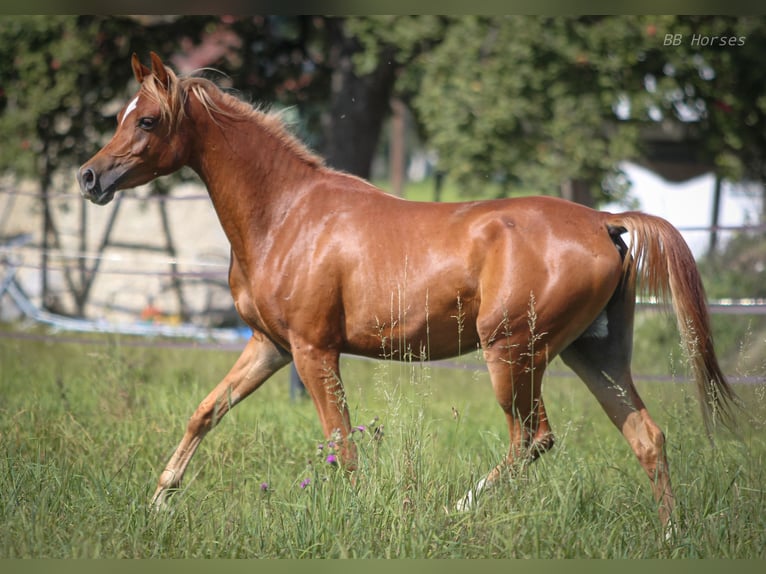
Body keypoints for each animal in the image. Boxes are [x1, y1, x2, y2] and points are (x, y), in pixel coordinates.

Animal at [77, 52, 738, 529]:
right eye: (119, 116)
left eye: (147, 119)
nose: (89, 177)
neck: (287, 215)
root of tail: (605, 221)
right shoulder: (271, 346)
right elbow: (206, 411)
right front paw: (158, 502)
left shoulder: (314, 351)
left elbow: (341, 443)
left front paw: (357, 514)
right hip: (593, 356)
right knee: (646, 438)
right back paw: (668, 535)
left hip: (514, 356)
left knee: (533, 439)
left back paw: (452, 512)